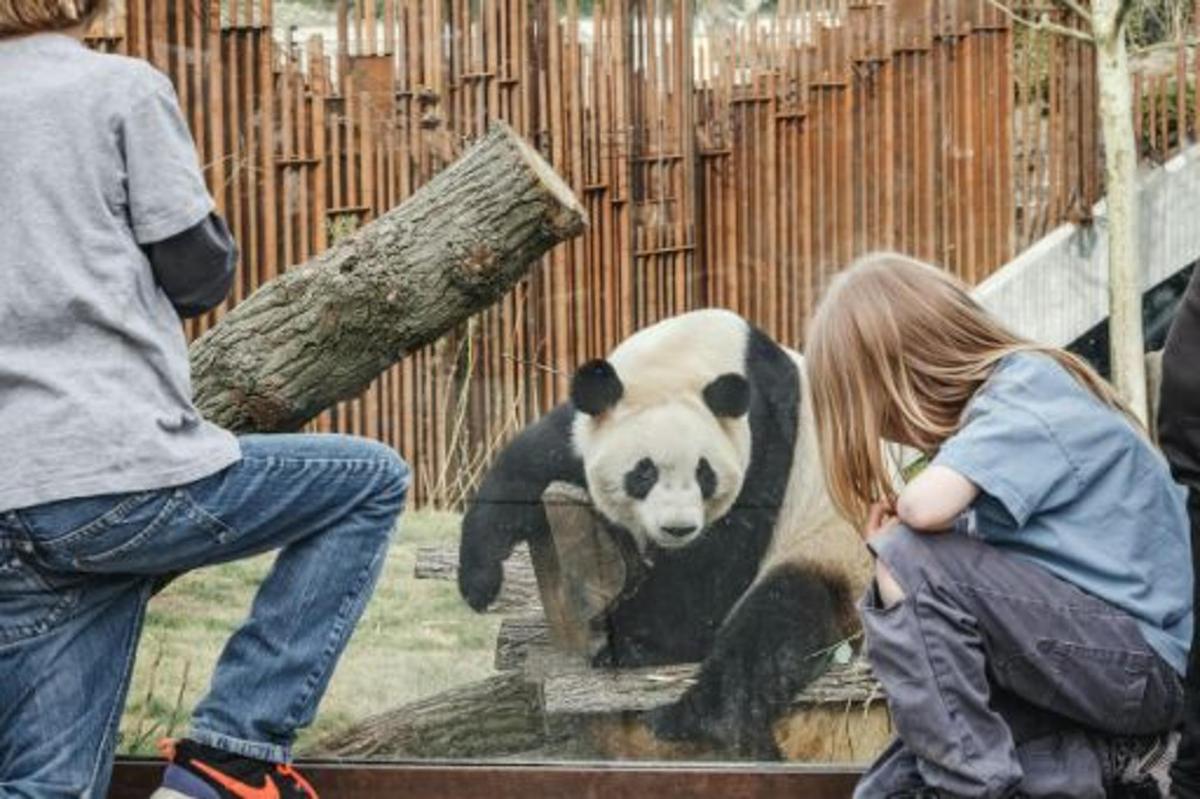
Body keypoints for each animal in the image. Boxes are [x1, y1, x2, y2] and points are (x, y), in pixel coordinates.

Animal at [458, 307, 873, 758]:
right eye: (644, 472)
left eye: (705, 473)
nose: (678, 528)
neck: (684, 358)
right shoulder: (593, 419)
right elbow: (531, 464)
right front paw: (479, 582)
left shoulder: (765, 443)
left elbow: (708, 577)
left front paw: (631, 644)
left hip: (840, 556)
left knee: (776, 625)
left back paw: (687, 719)